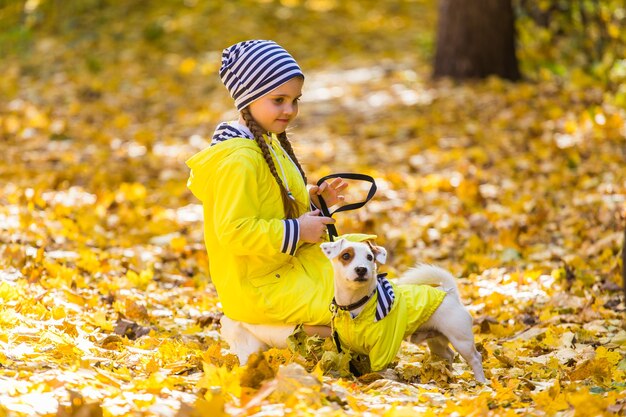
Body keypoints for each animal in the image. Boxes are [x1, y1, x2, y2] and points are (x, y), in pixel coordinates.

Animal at [320, 239, 486, 382]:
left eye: (370, 257)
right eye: (346, 256)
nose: (361, 269)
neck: (357, 304)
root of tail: (449, 293)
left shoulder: (383, 349)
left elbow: (378, 371)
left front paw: (377, 380)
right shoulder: (346, 348)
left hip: (461, 341)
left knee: (476, 358)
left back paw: (481, 383)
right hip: (436, 340)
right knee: (449, 355)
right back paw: (446, 375)